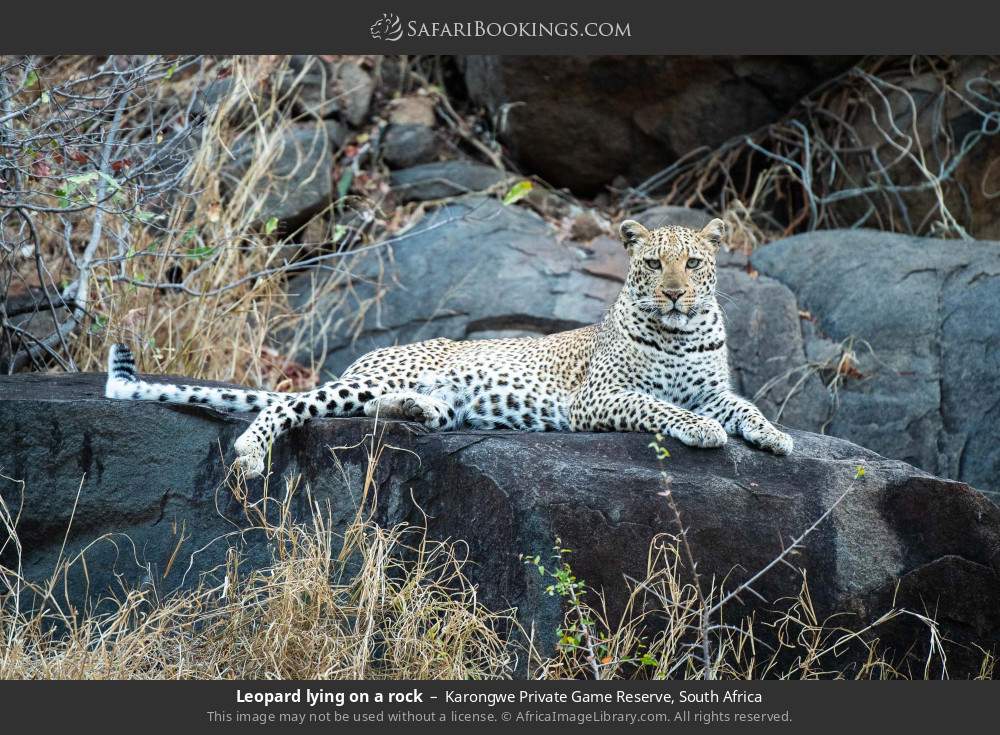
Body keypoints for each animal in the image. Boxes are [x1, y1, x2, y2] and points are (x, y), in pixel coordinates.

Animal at [105, 217, 793, 477]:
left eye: (694, 263)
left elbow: (744, 407)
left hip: (399, 395)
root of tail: (369, 358)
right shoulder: (598, 398)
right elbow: (664, 406)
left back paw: (422, 411)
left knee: (376, 412)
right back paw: (250, 454)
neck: (681, 333)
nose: (675, 293)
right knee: (284, 404)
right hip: (365, 379)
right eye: (653, 264)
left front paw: (775, 437)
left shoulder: (714, 386)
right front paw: (702, 431)